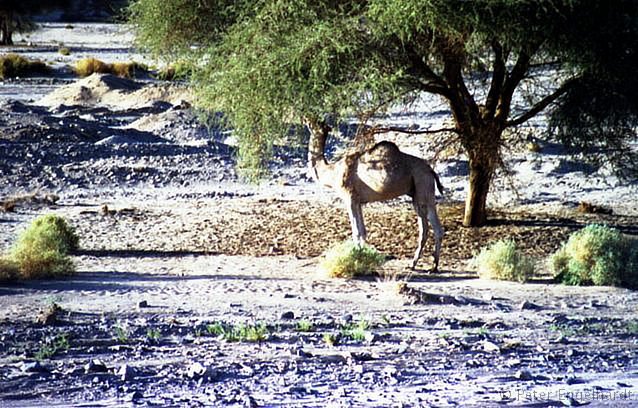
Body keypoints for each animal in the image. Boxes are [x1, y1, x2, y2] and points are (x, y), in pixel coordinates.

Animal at [306, 119, 444, 270]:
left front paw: (356, 259)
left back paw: (427, 265)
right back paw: (423, 265)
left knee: (431, 228)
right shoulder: (358, 201)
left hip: (423, 187)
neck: (332, 172)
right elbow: (363, 232)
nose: (306, 120)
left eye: (314, 125)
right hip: (418, 194)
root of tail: (431, 170)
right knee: (429, 227)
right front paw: (361, 257)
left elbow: (356, 232)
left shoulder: (349, 198)